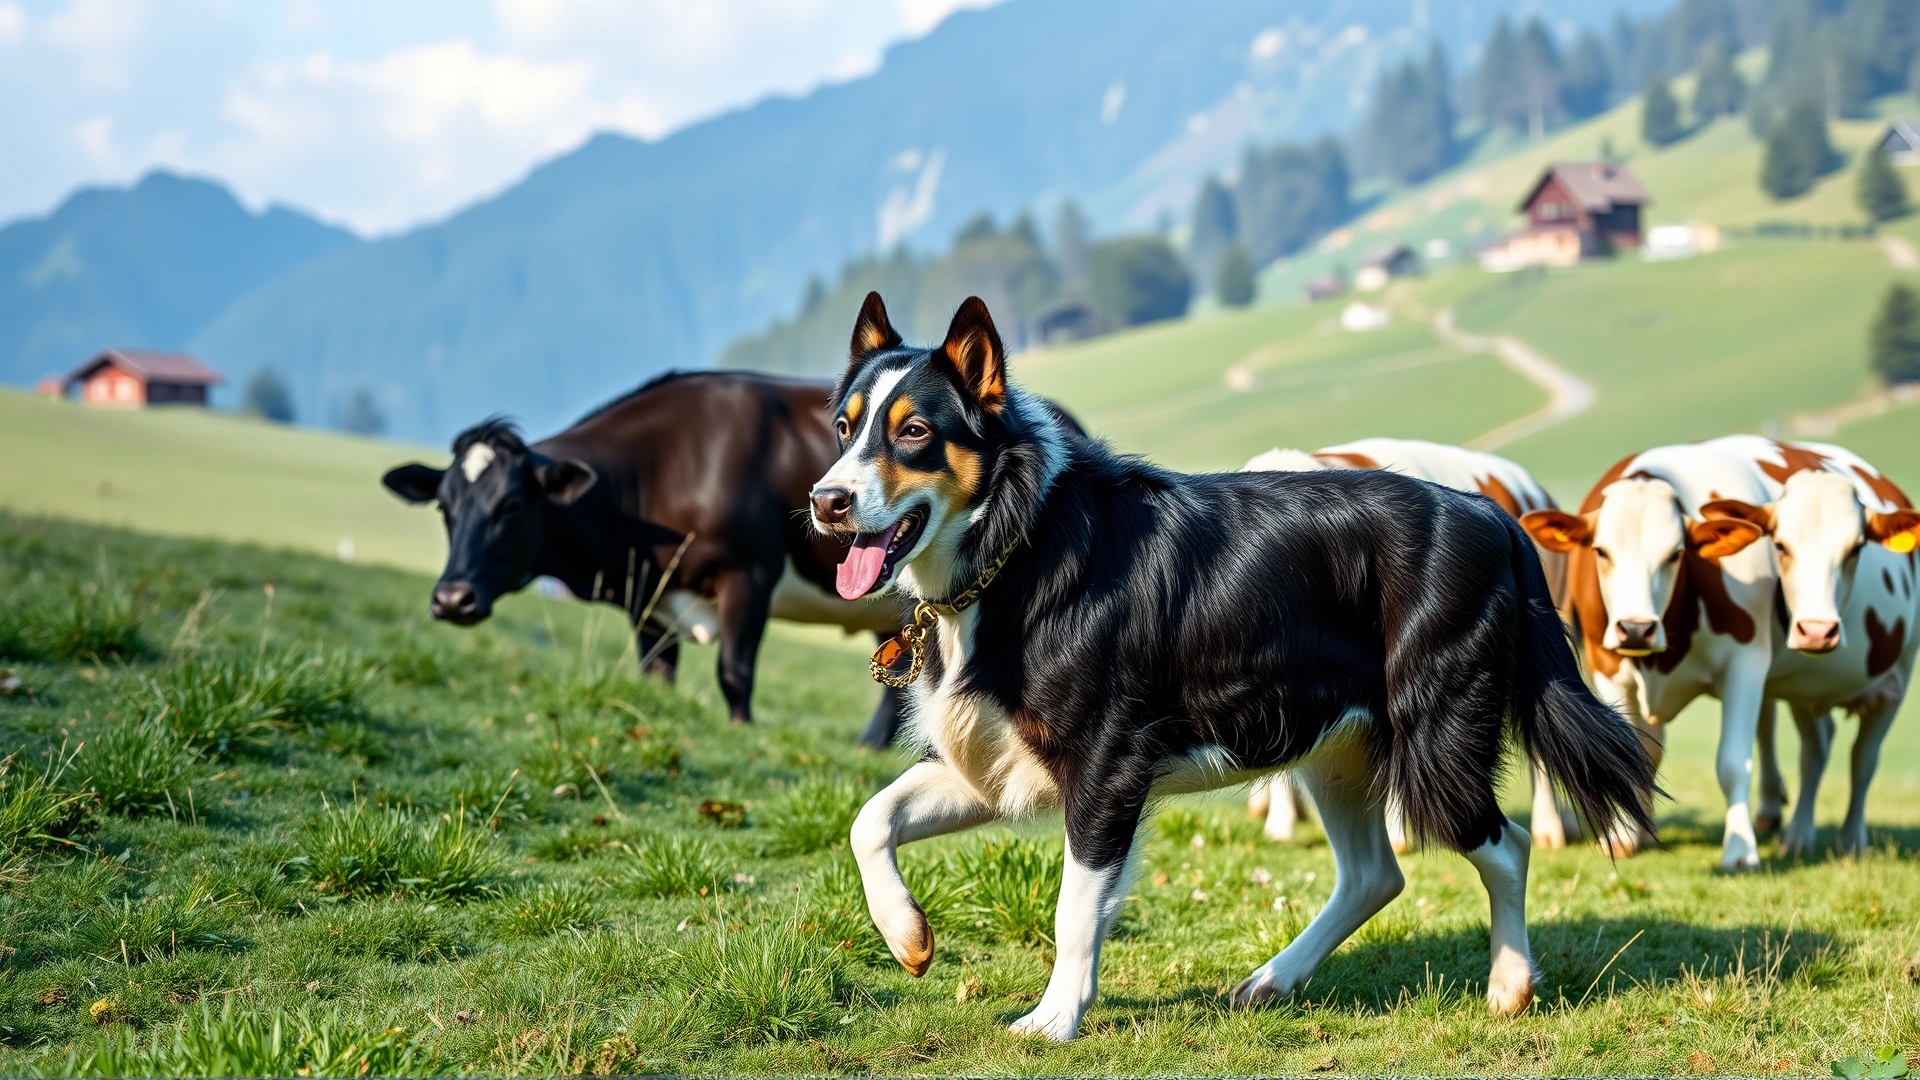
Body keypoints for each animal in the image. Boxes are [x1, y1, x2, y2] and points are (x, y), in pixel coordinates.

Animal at [1693, 441, 1920, 855]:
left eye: (1856, 548)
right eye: (1780, 545)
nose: (1816, 631)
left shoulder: (1897, 683)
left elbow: (1865, 759)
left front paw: (1853, 839)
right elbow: (1811, 754)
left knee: (1851, 755)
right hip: (1805, 690)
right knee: (1815, 752)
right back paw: (1798, 835)